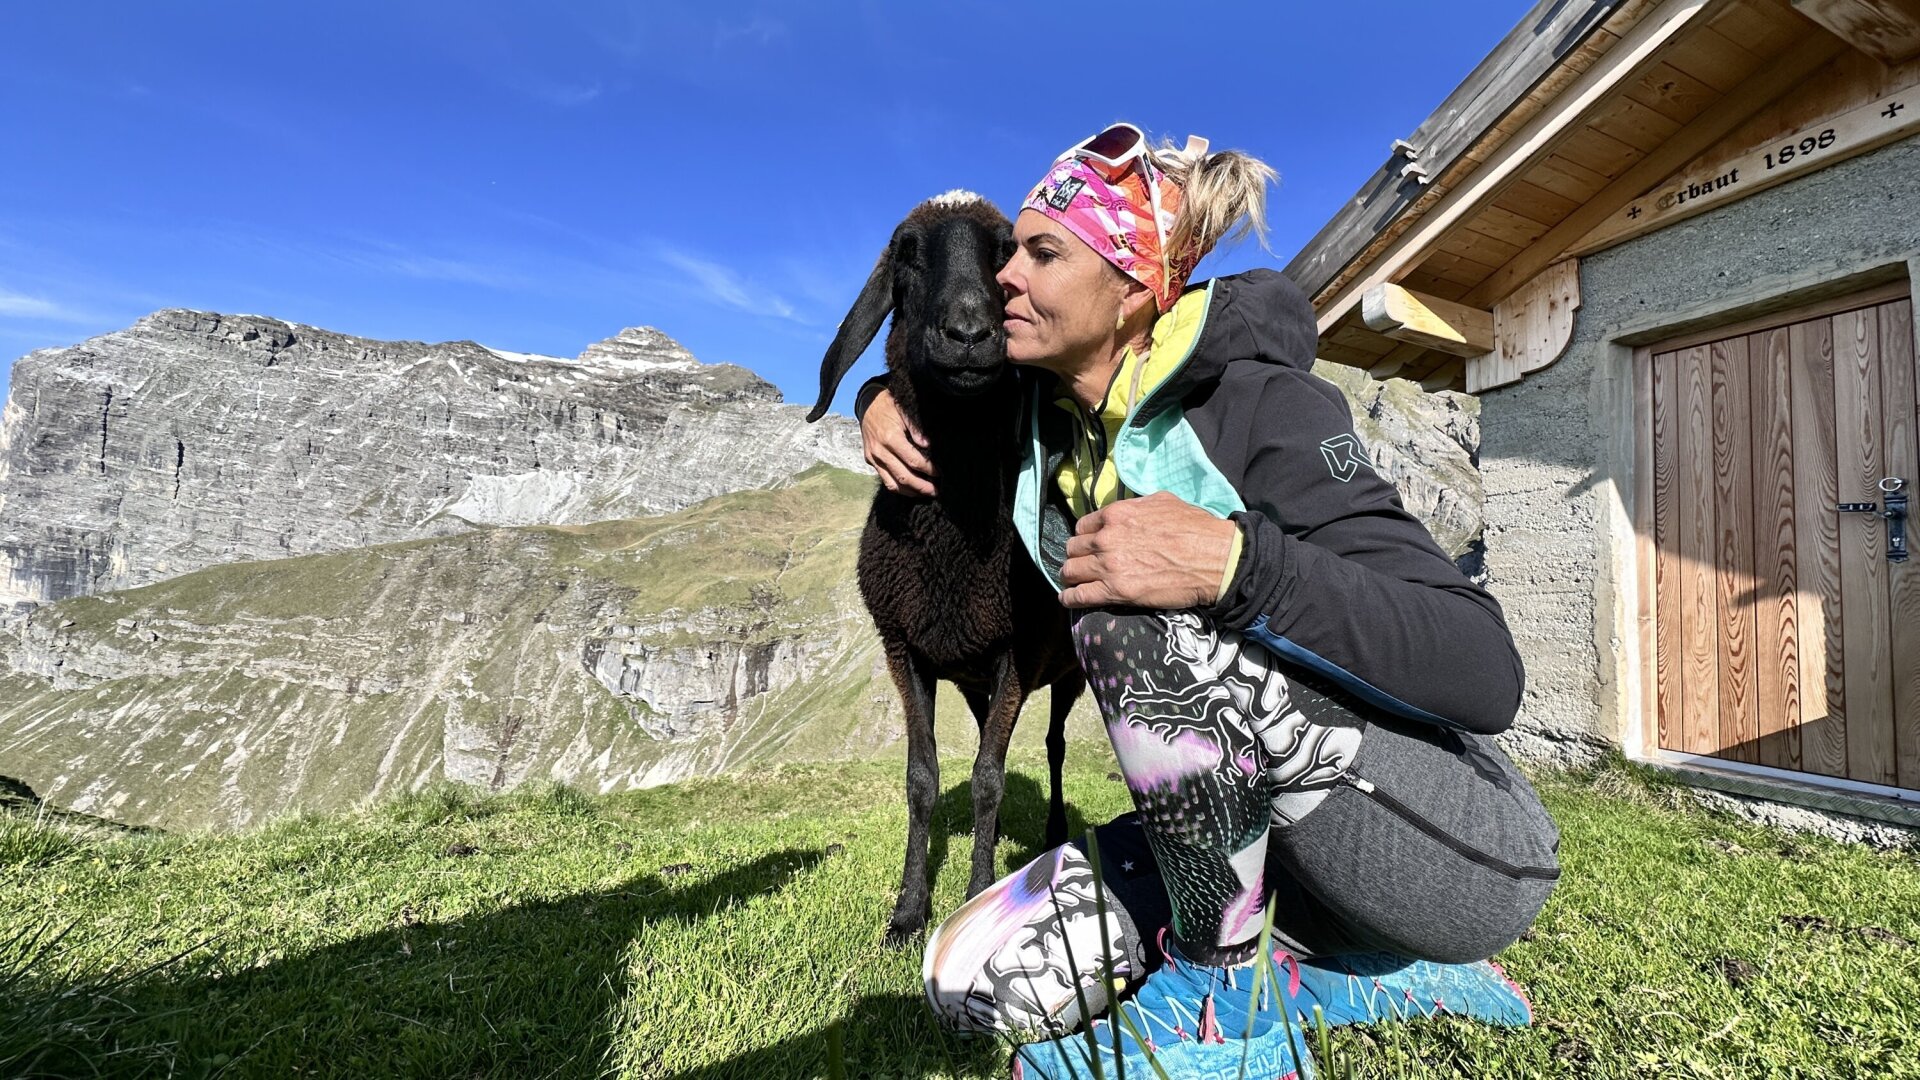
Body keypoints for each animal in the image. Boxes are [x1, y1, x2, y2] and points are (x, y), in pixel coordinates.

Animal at [807, 191, 1085, 943]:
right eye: (906, 252)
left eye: (1007, 249)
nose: (967, 334)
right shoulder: (905, 647)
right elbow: (922, 778)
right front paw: (908, 911)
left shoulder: (1017, 649)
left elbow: (988, 777)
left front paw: (978, 893)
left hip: (1064, 672)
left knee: (1053, 746)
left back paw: (1054, 831)